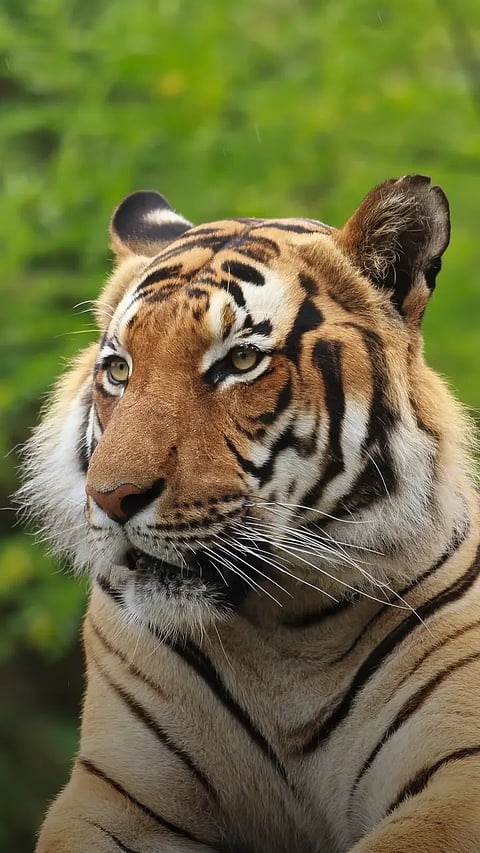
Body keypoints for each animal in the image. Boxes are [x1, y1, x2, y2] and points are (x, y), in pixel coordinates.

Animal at [20, 174, 480, 853]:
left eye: (240, 362)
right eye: (119, 369)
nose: (111, 497)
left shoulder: (456, 778)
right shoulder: (113, 794)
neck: (288, 631)